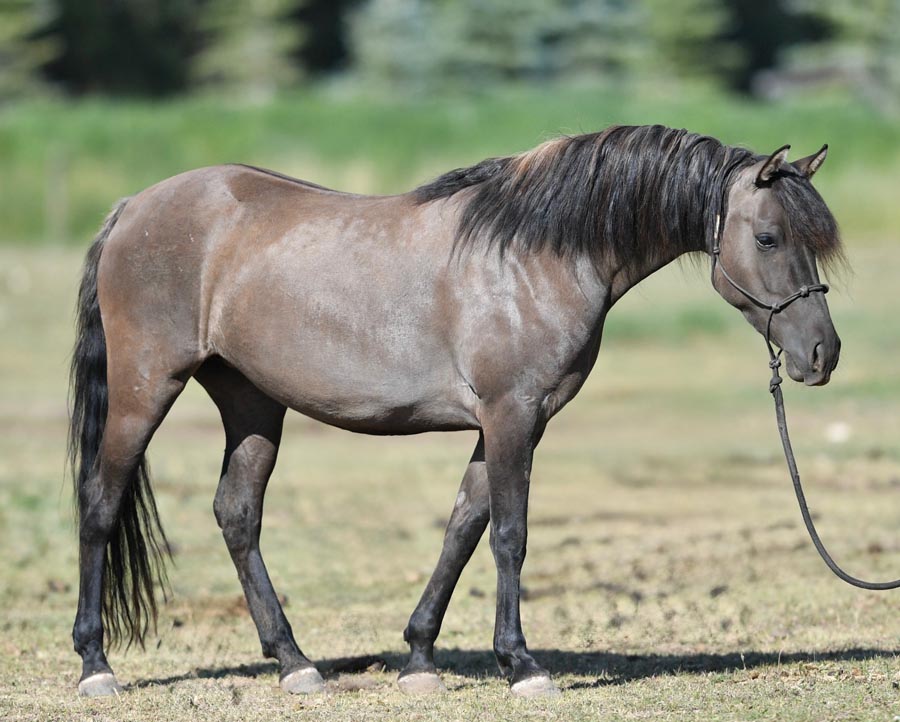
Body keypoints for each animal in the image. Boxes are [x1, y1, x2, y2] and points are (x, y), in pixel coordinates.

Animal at [68, 124, 842, 698]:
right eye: (768, 238)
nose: (822, 353)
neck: (535, 256)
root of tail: (132, 207)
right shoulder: (511, 417)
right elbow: (509, 536)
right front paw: (521, 665)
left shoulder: (507, 424)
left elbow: (462, 529)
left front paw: (418, 659)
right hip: (145, 389)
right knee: (100, 504)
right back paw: (96, 666)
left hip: (251, 401)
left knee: (237, 514)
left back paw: (295, 663)